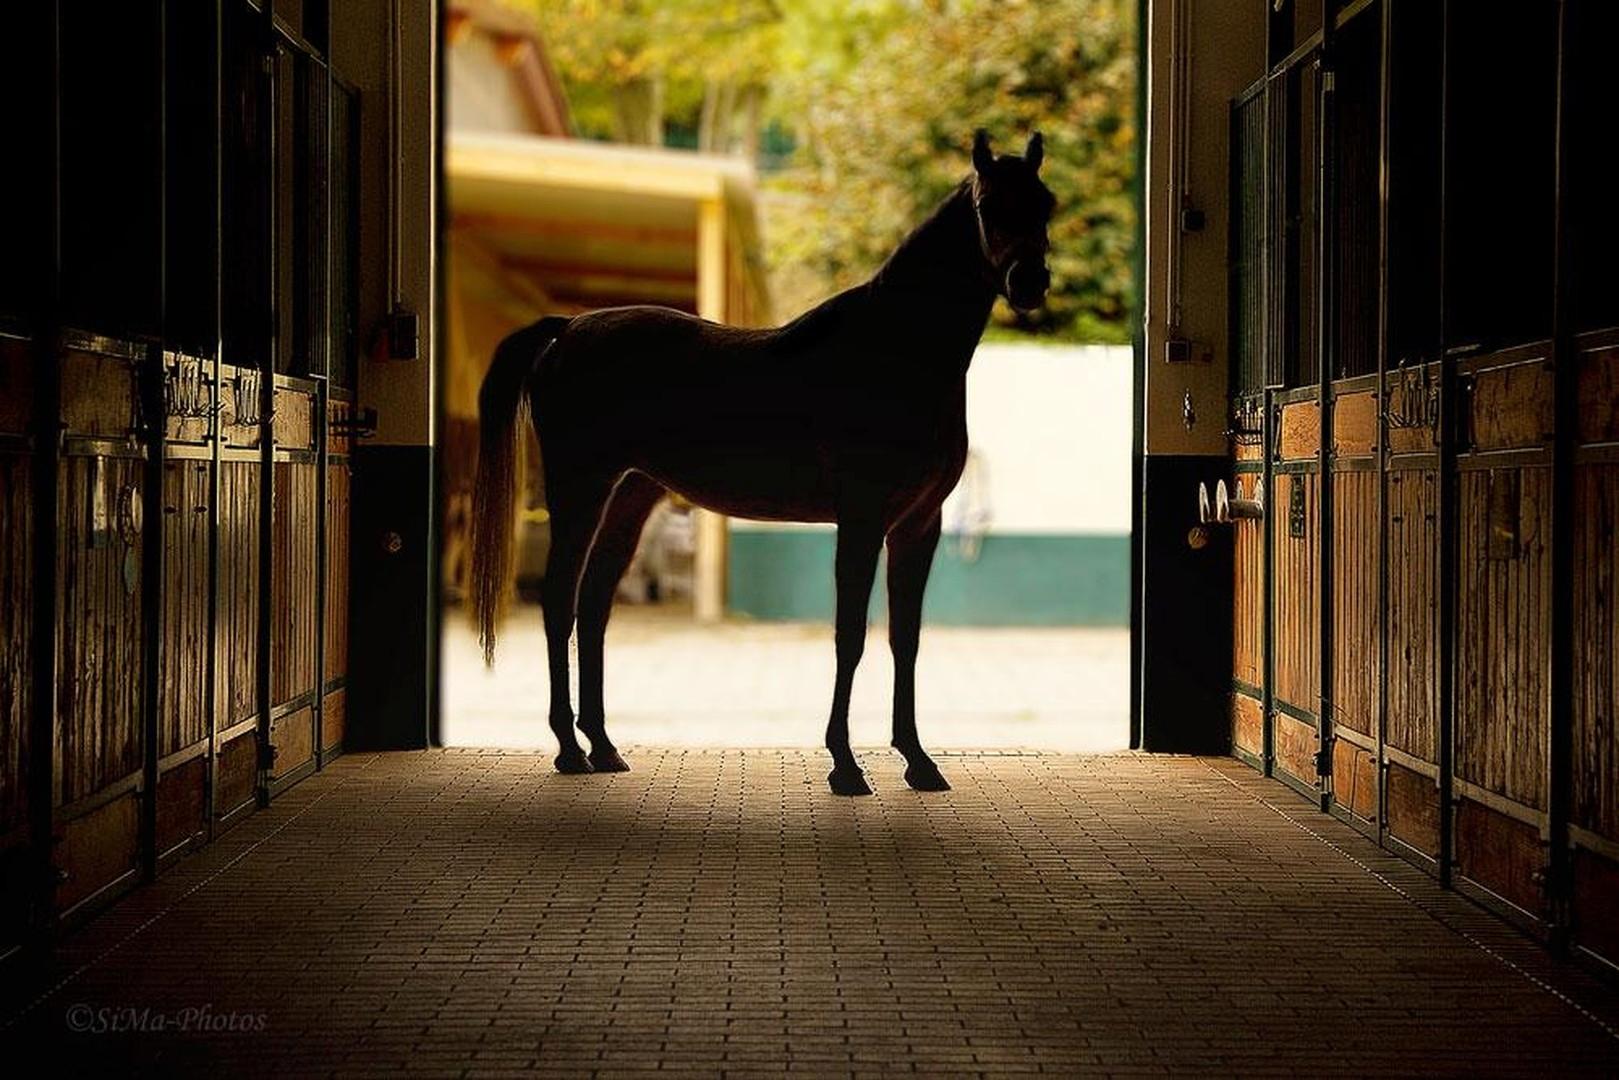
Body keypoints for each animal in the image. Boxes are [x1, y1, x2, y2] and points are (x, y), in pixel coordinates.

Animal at [470, 129, 1054, 796]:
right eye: (988, 206)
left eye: (1046, 204)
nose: (1031, 282)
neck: (894, 352)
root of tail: (567, 329)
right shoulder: (861, 520)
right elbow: (849, 636)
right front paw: (845, 765)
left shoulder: (918, 525)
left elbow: (904, 639)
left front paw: (918, 760)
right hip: (580, 491)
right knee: (558, 603)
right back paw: (568, 750)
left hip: (629, 497)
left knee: (592, 607)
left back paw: (604, 747)